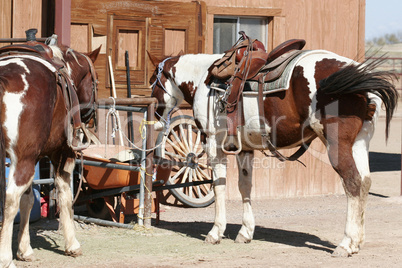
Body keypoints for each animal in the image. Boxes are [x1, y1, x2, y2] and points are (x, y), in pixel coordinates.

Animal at [0, 43, 100, 266]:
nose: (92, 117)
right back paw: (5, 259)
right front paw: (72, 245)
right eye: (95, 82)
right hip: (24, 161)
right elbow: (64, 194)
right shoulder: (63, 153)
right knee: (10, 200)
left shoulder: (35, 157)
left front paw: (24, 249)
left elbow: (28, 200)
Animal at [149, 50, 398, 258]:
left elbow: (219, 187)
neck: (204, 79)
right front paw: (245, 232)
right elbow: (245, 186)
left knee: (353, 183)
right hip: (359, 143)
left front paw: (215, 232)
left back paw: (345, 244)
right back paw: (356, 243)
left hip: (338, 145)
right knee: (364, 183)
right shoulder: (244, 149)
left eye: (153, 80)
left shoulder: (213, 144)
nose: (155, 115)